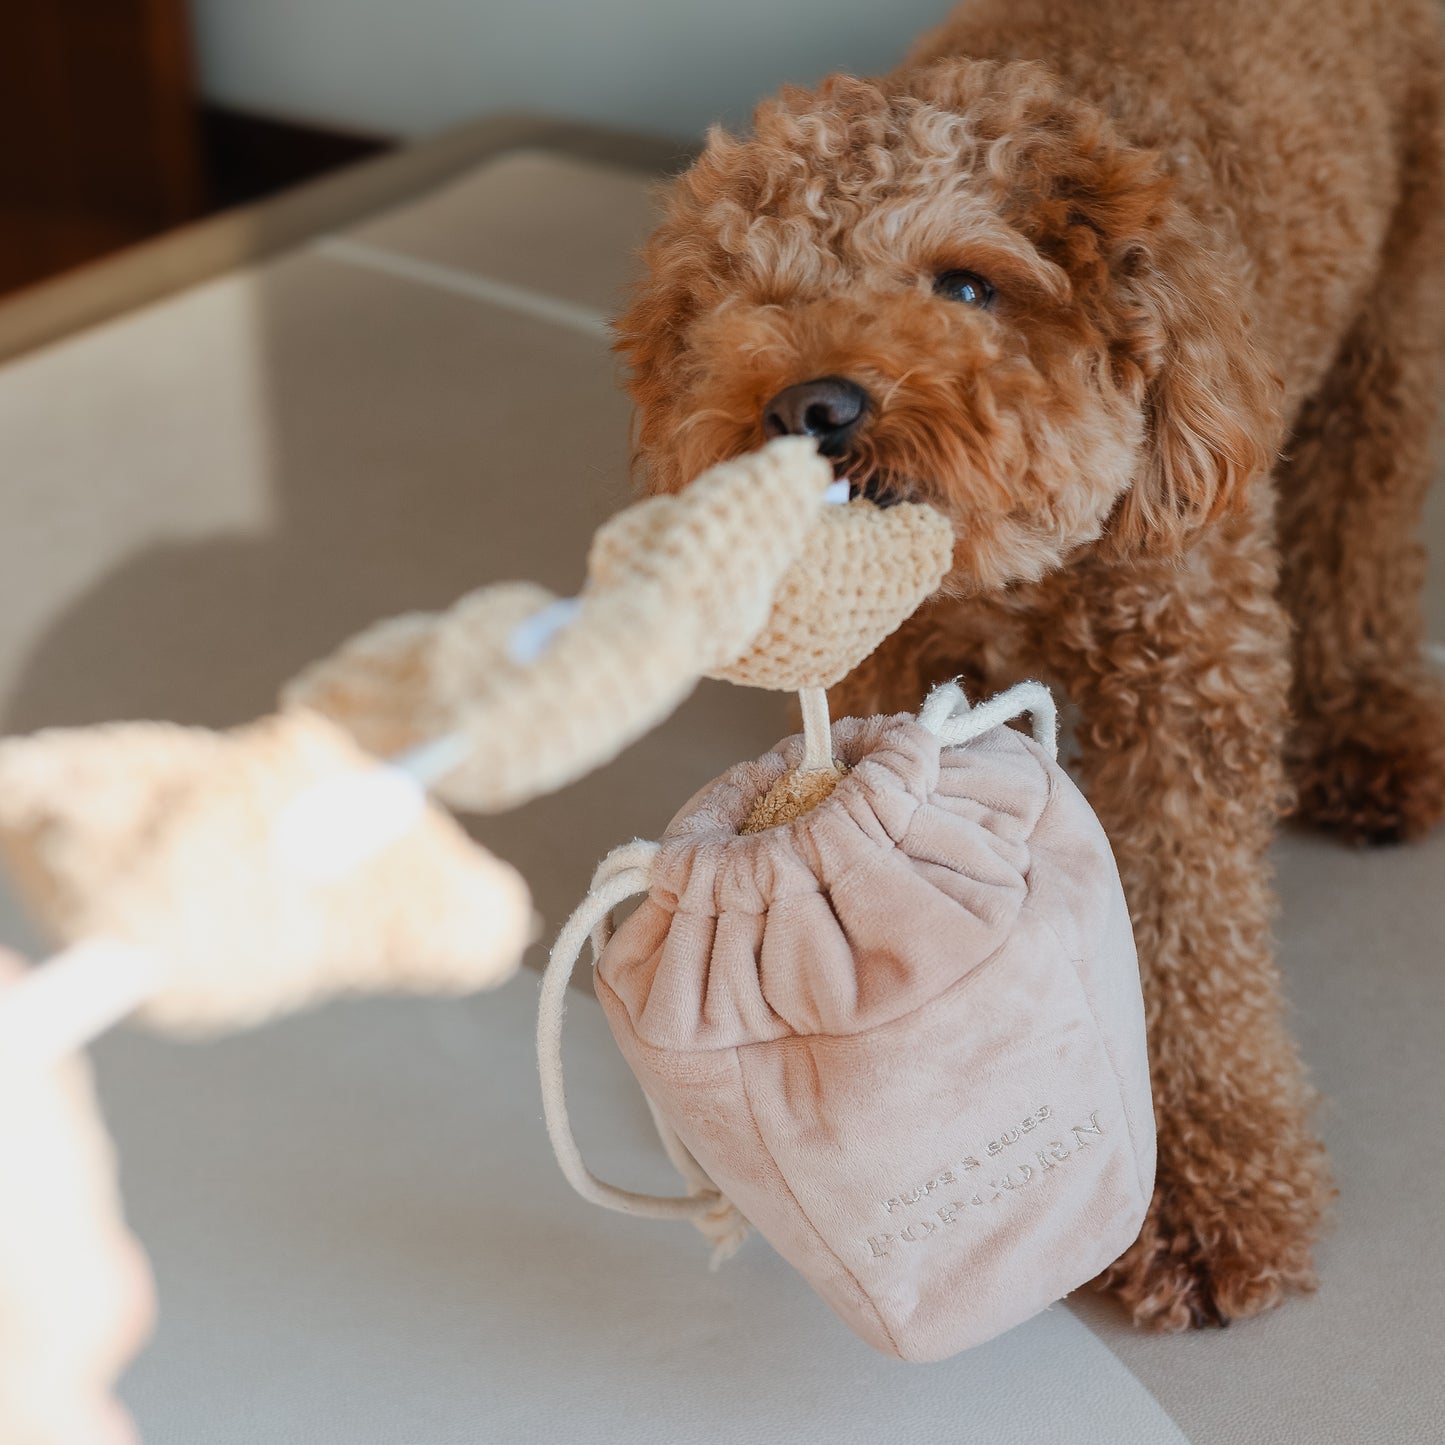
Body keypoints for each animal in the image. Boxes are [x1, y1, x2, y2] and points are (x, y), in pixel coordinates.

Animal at [615, 0, 1445, 1323]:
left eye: (967, 283)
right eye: (742, 299)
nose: (812, 404)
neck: (1010, 582)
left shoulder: (1182, 693)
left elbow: (1187, 948)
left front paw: (1197, 1200)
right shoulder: (899, 678)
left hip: (1391, 310)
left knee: (1361, 504)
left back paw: (1365, 722)